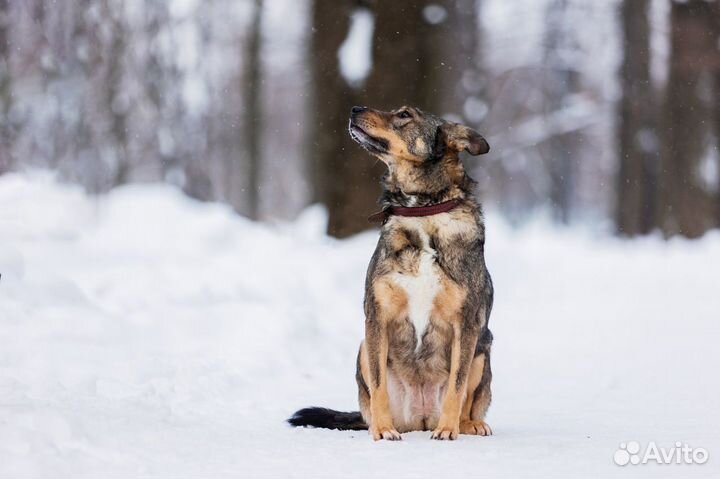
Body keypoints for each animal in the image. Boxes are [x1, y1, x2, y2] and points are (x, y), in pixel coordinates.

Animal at [290, 106, 492, 442]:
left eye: (404, 114)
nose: (354, 108)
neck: (422, 212)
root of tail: (422, 419)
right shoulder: (378, 317)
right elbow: (379, 385)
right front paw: (383, 430)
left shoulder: (465, 324)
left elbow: (457, 384)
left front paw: (448, 429)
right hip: (363, 347)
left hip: (483, 349)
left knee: (470, 401)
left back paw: (467, 424)